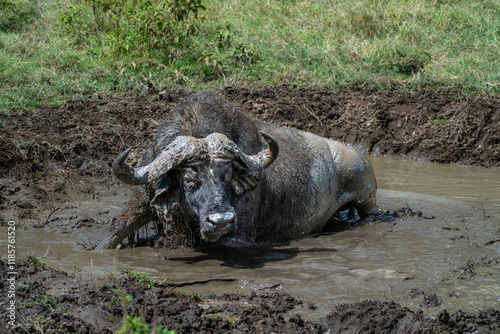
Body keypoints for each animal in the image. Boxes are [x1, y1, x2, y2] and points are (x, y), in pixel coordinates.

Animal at [97, 91, 376, 248]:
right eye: (189, 180)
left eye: (228, 176)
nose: (221, 220)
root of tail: (361, 157)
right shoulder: (145, 191)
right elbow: (116, 231)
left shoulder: (238, 236)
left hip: (367, 200)